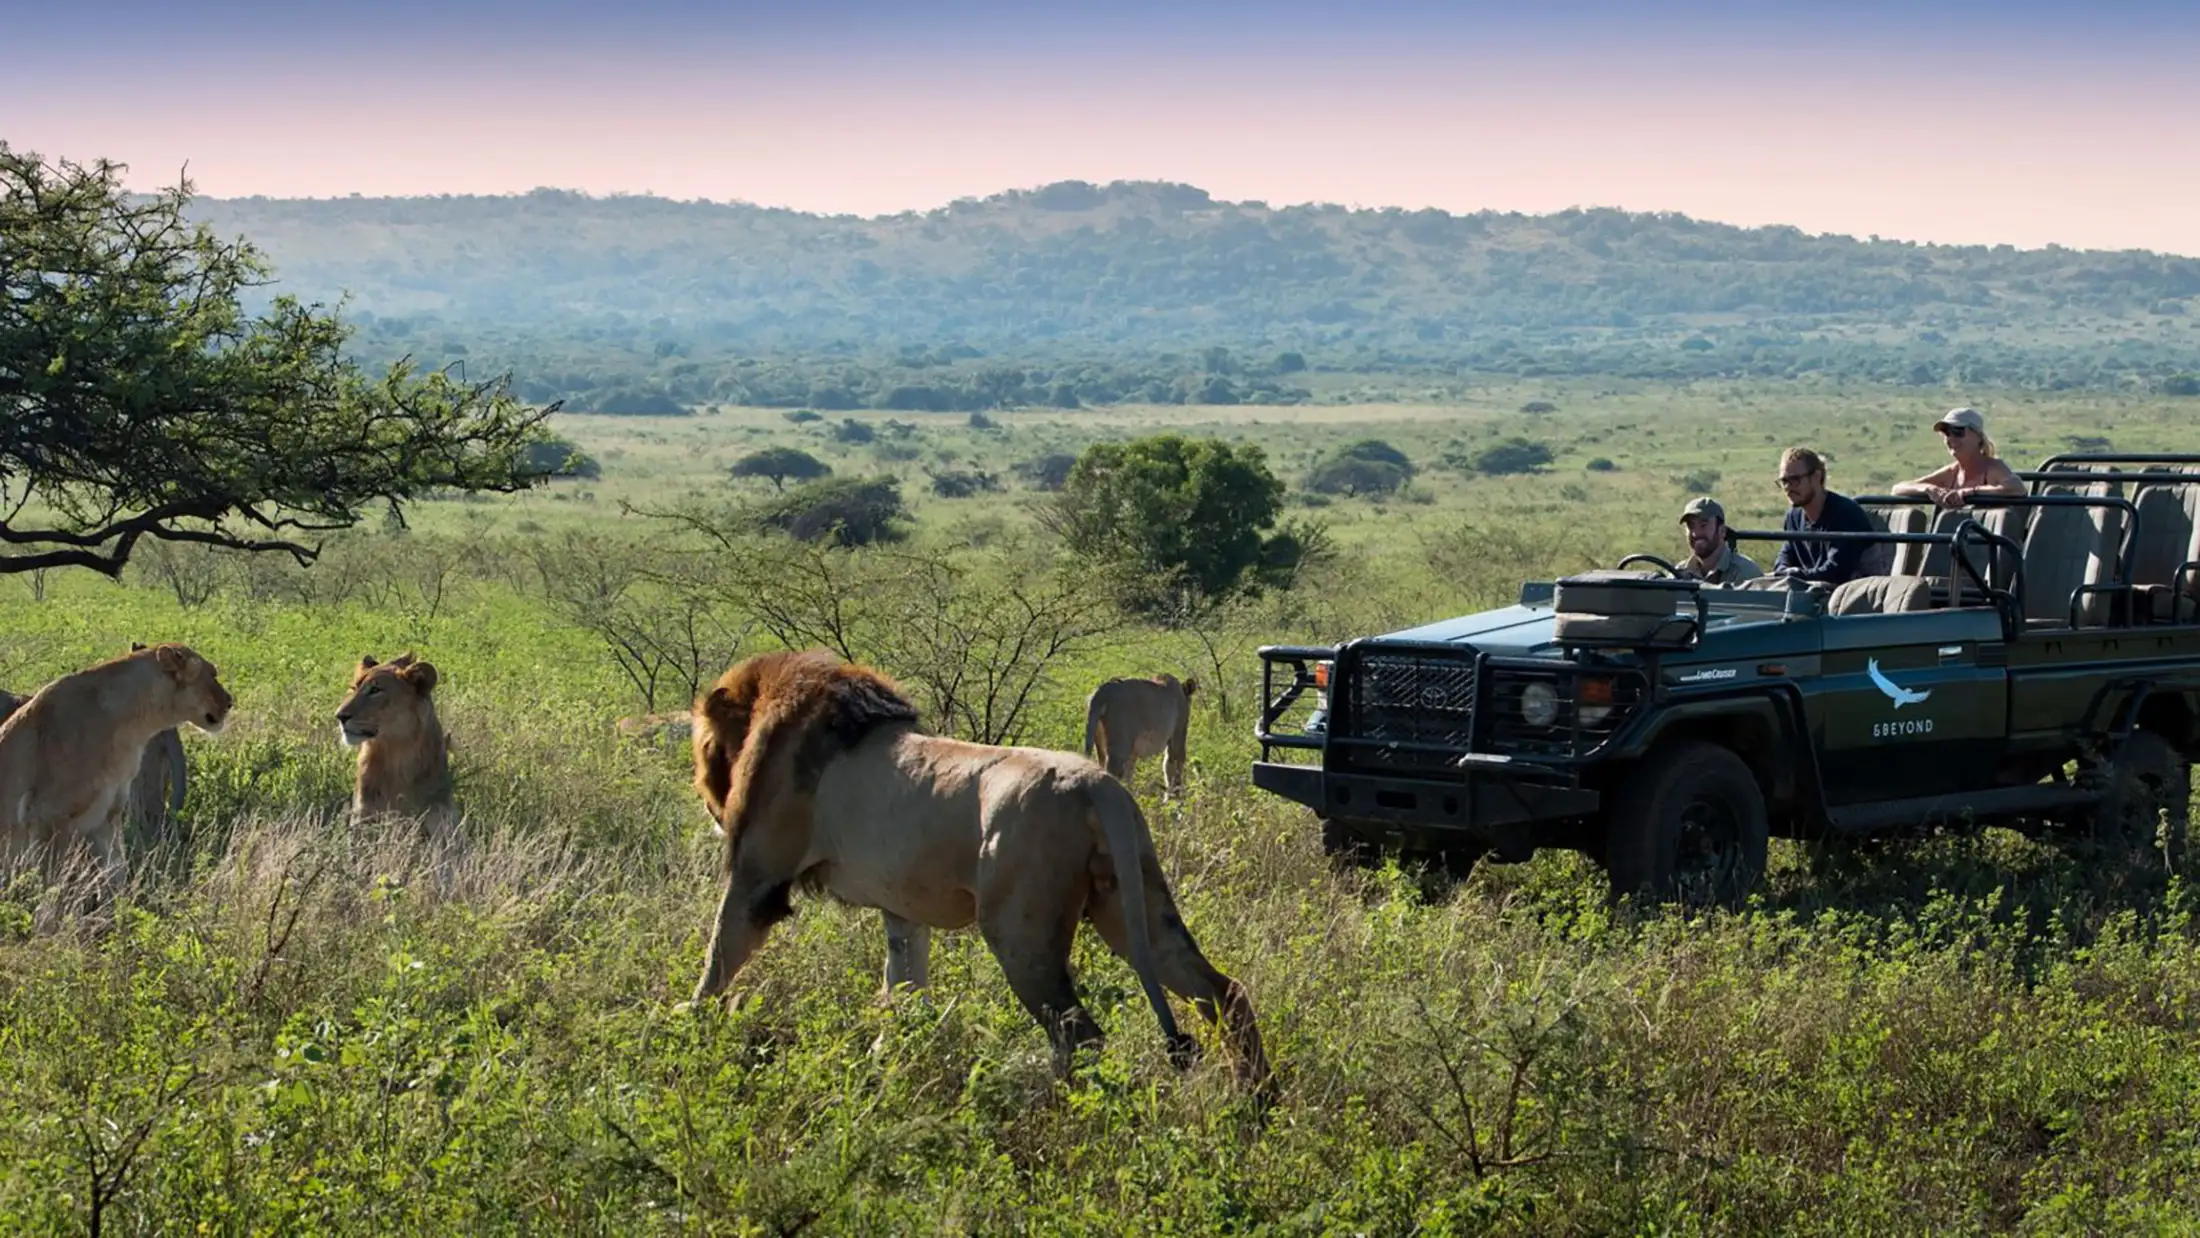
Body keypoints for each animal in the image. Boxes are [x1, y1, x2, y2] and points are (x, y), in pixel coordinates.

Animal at [0, 643, 233, 905]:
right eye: (212, 674)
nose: (230, 701)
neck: (135, 727)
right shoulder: (47, 818)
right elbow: (53, 889)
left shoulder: (106, 819)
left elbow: (116, 875)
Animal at [688, 649, 1270, 1096]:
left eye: (702, 748)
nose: (704, 795)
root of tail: (1098, 787)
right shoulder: (902, 911)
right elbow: (903, 987)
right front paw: (888, 1059)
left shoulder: (758, 877)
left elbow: (718, 960)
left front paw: (687, 1033)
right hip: (1135, 906)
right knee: (1223, 993)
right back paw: (1256, 1105)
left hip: (1020, 934)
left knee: (1080, 1035)